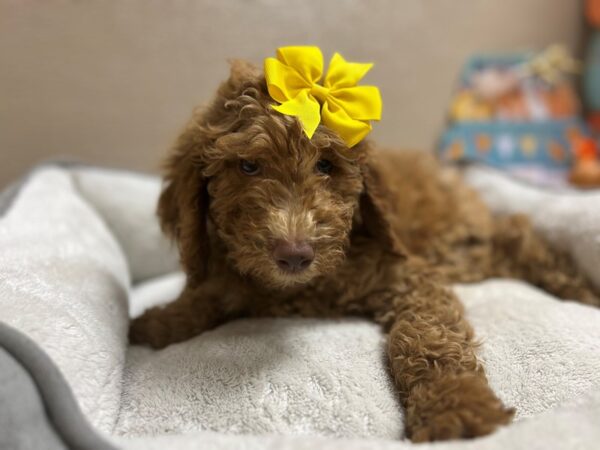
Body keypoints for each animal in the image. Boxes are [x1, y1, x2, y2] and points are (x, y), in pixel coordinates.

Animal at [129, 58, 596, 442]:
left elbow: (424, 335)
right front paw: (157, 323)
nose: (295, 254)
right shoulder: (235, 271)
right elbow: (209, 294)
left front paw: (456, 407)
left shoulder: (408, 273)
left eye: (325, 165)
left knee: (518, 234)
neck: (305, 287)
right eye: (247, 166)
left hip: (458, 243)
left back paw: (580, 289)